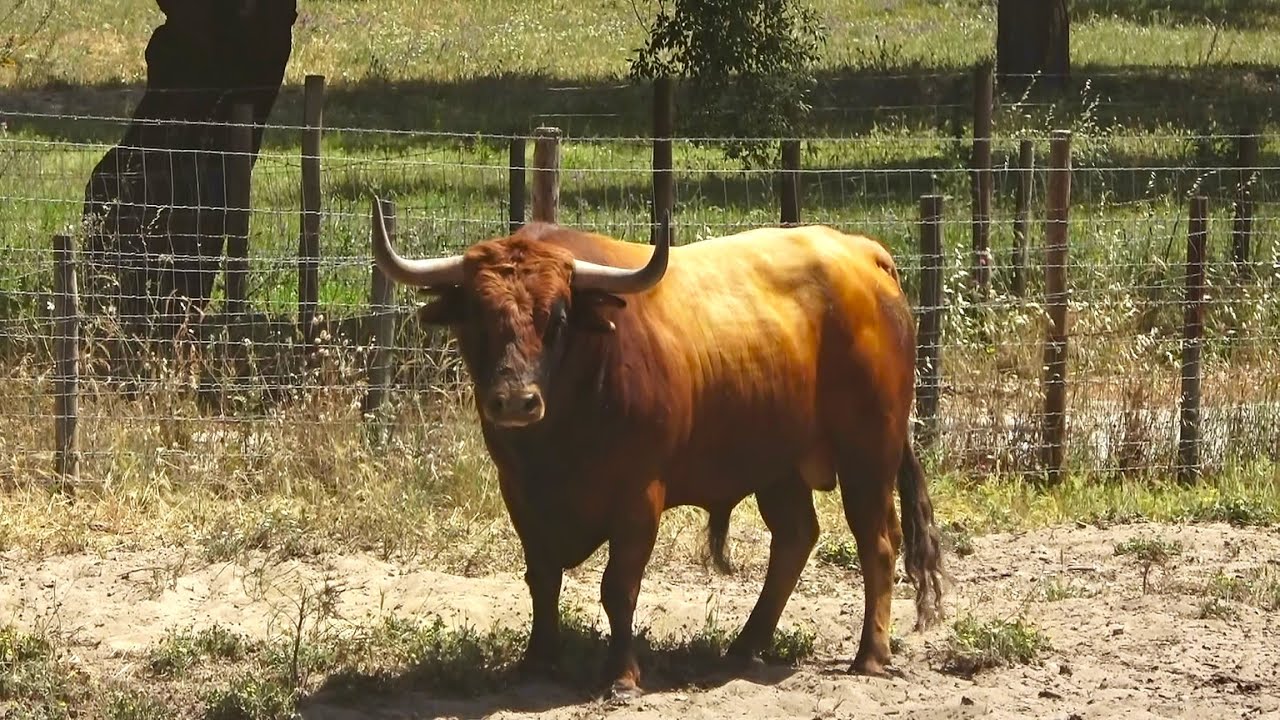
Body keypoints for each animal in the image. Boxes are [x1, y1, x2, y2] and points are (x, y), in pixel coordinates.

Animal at [370, 199, 947, 697]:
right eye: (477, 317)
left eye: (558, 318)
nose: (514, 401)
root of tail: (861, 254)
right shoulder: (521, 495)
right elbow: (543, 579)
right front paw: (537, 661)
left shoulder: (638, 496)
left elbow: (618, 586)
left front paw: (622, 675)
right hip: (776, 465)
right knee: (795, 538)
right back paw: (745, 646)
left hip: (868, 452)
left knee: (877, 543)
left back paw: (870, 655)